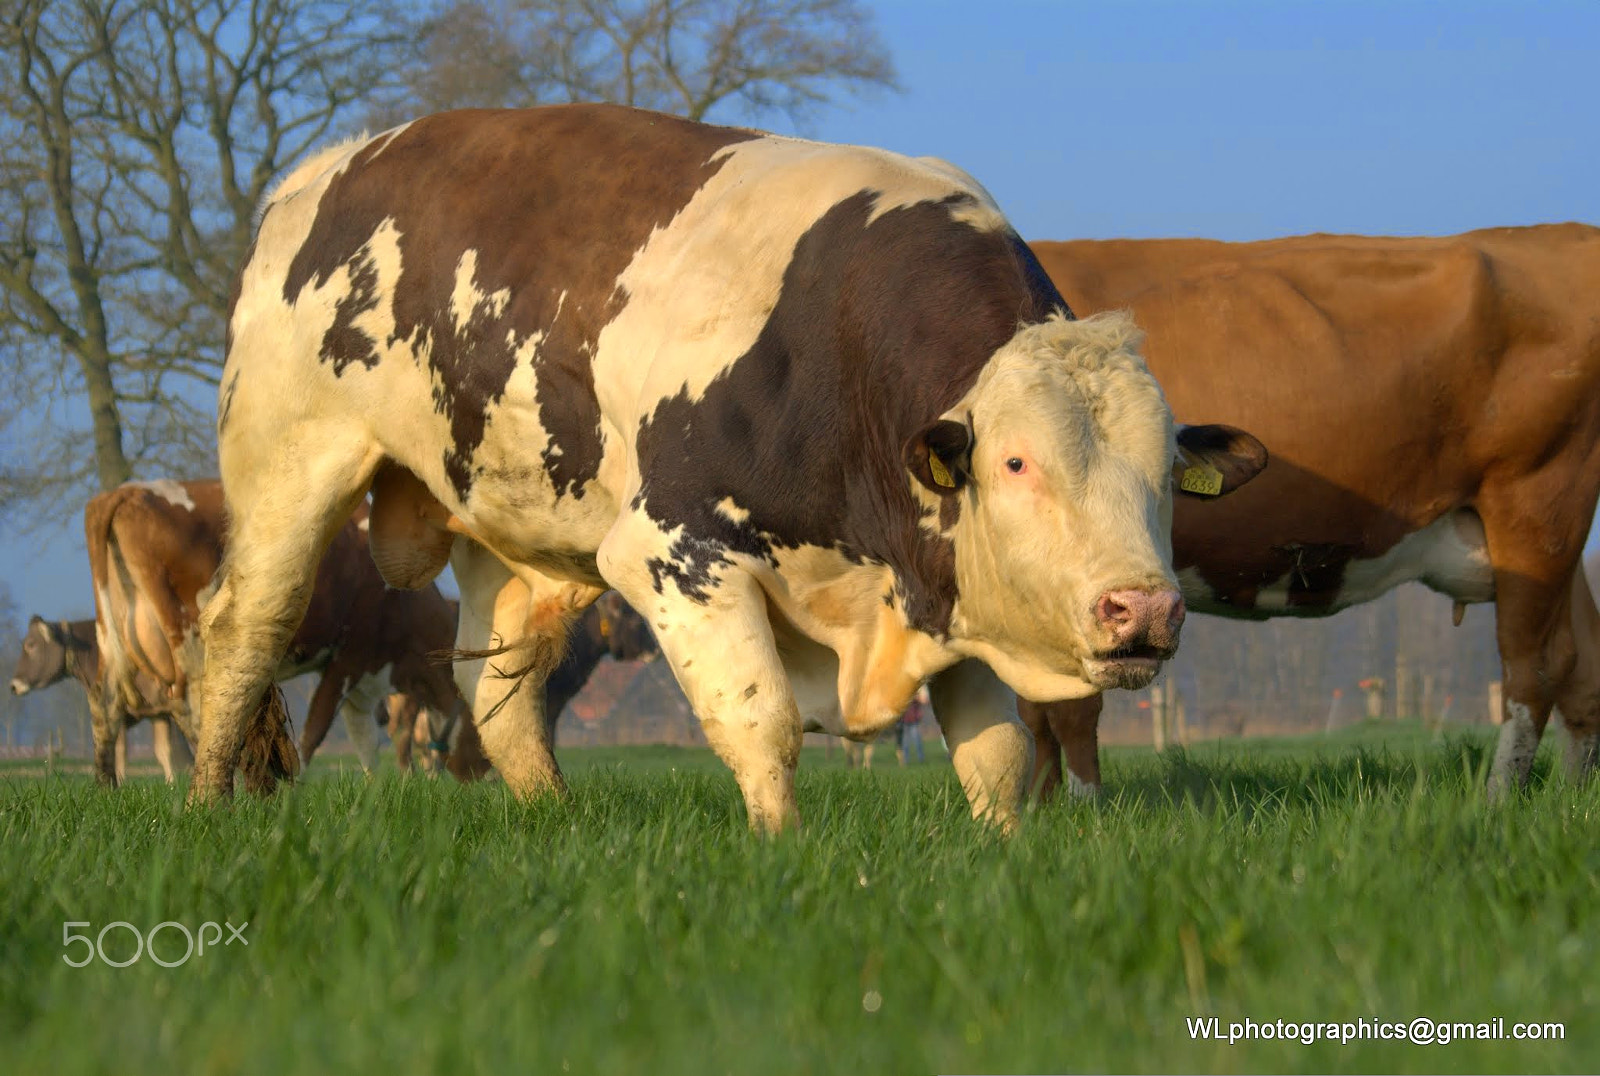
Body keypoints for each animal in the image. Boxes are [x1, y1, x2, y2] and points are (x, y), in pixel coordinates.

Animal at [9, 614, 192, 781]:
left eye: (30, 644)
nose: (14, 685)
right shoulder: (156, 713)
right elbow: (162, 751)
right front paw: (171, 785)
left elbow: (119, 752)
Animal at [85, 480, 460, 790]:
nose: (442, 773)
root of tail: (125, 493)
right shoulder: (347, 658)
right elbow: (315, 732)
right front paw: (296, 788)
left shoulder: (365, 673)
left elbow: (366, 740)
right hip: (185, 636)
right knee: (191, 703)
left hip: (112, 638)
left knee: (106, 705)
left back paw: (107, 787)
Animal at [196, 104, 1260, 832]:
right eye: (1015, 460)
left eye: (1166, 471)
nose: (1143, 608)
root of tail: (333, 165)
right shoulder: (674, 553)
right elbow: (763, 722)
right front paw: (781, 853)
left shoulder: (940, 587)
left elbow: (994, 755)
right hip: (290, 460)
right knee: (242, 628)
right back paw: (210, 806)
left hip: (514, 527)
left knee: (502, 694)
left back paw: (555, 822)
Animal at [1024, 224, 1600, 797]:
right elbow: (1032, 705)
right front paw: (1037, 806)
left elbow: (1068, 702)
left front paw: (1080, 808)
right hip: (1550, 542)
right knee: (1580, 667)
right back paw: (1569, 797)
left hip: (1536, 504)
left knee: (1534, 667)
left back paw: (1498, 799)